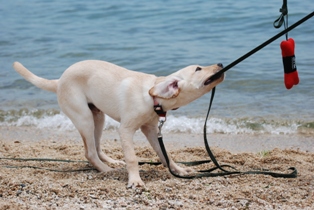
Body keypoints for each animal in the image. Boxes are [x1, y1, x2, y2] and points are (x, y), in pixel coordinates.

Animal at [12, 60, 223, 188]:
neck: (152, 96)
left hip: (98, 117)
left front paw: (179, 170)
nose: (221, 63)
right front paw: (135, 180)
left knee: (96, 147)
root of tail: (59, 81)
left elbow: (165, 155)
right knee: (89, 152)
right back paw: (107, 171)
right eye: (198, 69)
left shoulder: (151, 130)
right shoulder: (126, 130)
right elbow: (132, 158)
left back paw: (111, 162)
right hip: (84, 117)